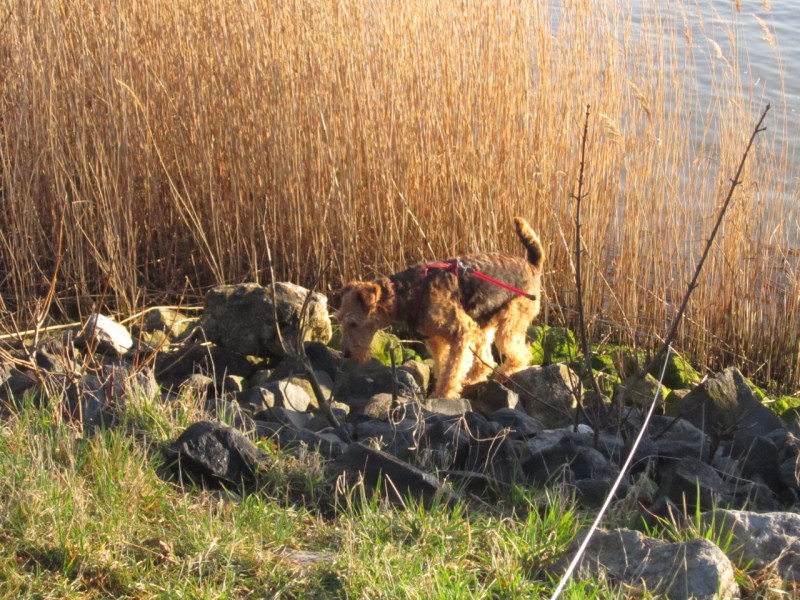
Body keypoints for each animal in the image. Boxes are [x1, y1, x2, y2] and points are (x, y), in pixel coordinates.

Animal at [333, 217, 544, 398]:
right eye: (339, 320)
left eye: (353, 323)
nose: (347, 354)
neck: (407, 292)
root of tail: (532, 265)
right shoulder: (436, 339)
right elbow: (444, 366)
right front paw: (439, 392)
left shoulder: (461, 331)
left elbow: (453, 368)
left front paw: (444, 394)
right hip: (484, 324)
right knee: (486, 361)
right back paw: (472, 380)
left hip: (510, 322)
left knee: (521, 354)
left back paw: (504, 373)